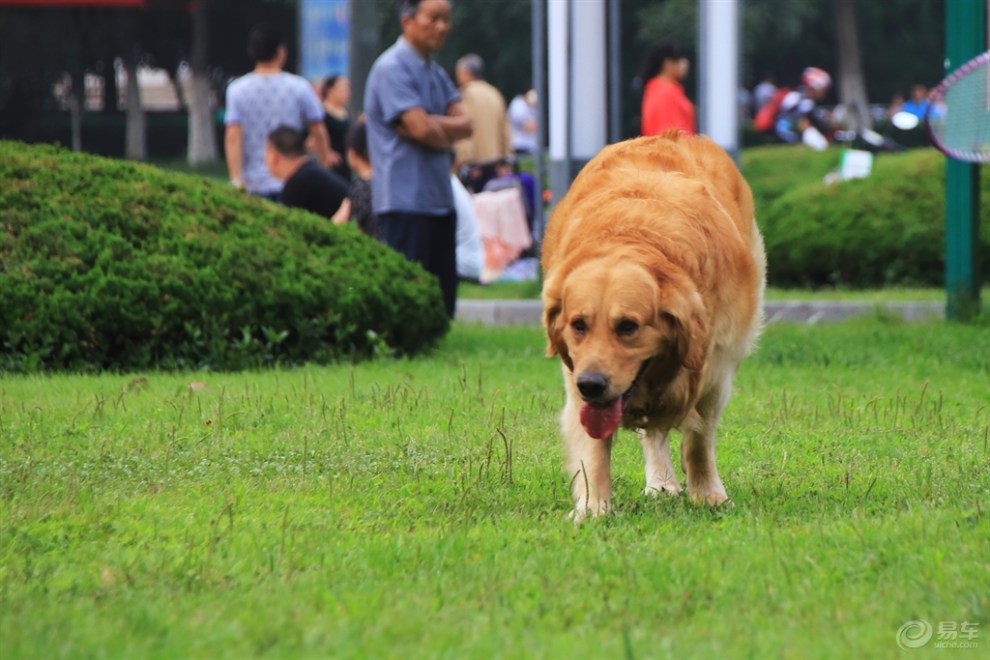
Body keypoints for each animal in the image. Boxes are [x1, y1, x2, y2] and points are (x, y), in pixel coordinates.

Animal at [544, 130, 768, 520]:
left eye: (628, 326)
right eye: (578, 324)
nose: (591, 385)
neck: (633, 236)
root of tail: (672, 134)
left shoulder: (715, 370)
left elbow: (699, 441)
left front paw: (708, 494)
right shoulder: (575, 372)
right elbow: (594, 446)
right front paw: (594, 507)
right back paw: (661, 481)